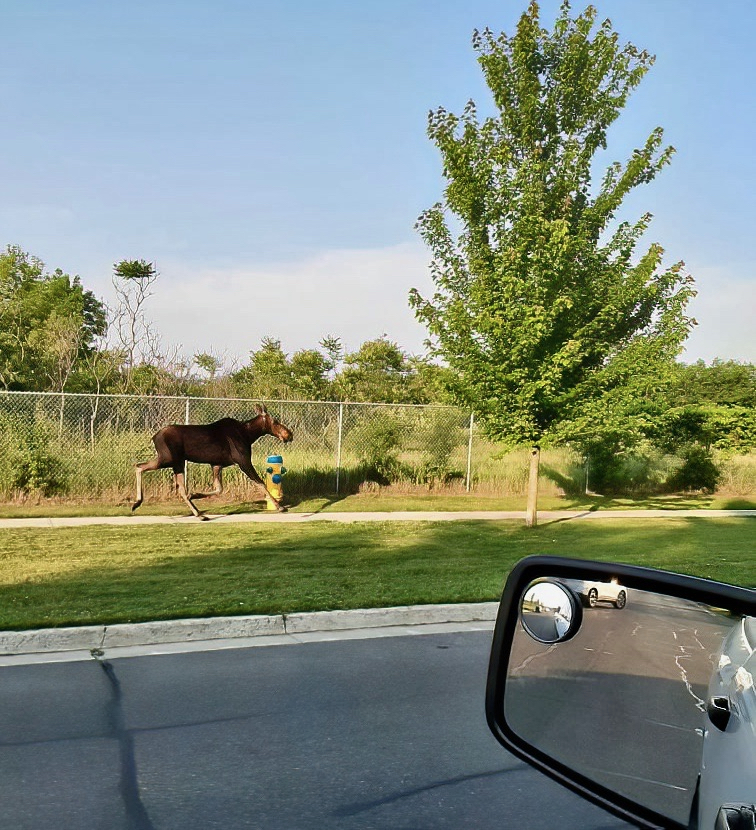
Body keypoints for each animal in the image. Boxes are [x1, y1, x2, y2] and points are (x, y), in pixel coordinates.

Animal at [131, 405, 293, 520]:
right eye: (275, 422)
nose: (289, 434)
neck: (249, 435)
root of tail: (154, 437)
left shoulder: (216, 464)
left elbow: (219, 488)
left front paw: (195, 494)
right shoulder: (243, 461)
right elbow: (261, 483)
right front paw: (279, 506)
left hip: (174, 461)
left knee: (145, 469)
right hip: (170, 459)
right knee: (142, 468)